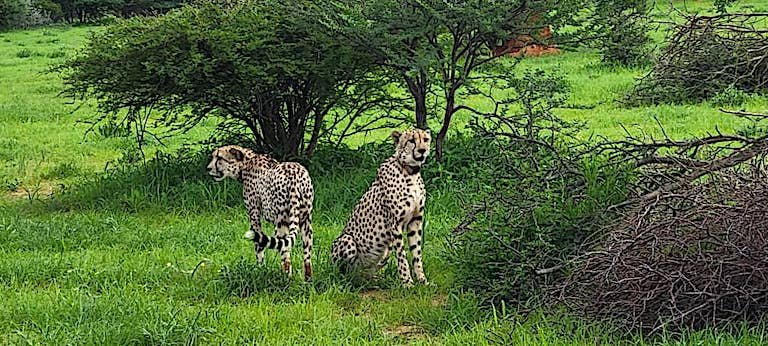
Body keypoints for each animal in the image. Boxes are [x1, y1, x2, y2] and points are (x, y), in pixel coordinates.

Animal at [207, 145, 316, 280]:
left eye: (220, 158)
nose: (209, 168)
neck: (246, 163)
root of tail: (295, 177)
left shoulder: (254, 214)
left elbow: (258, 246)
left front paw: (260, 269)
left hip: (281, 223)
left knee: (286, 256)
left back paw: (285, 279)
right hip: (306, 222)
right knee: (307, 258)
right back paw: (307, 280)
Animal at [332, 128, 432, 286]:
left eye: (426, 139)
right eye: (411, 141)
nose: (422, 150)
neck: (410, 172)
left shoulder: (415, 221)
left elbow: (417, 254)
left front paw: (422, 280)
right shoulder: (395, 224)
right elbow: (402, 256)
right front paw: (407, 282)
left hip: (385, 252)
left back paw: (372, 279)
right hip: (347, 240)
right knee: (344, 272)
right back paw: (348, 281)